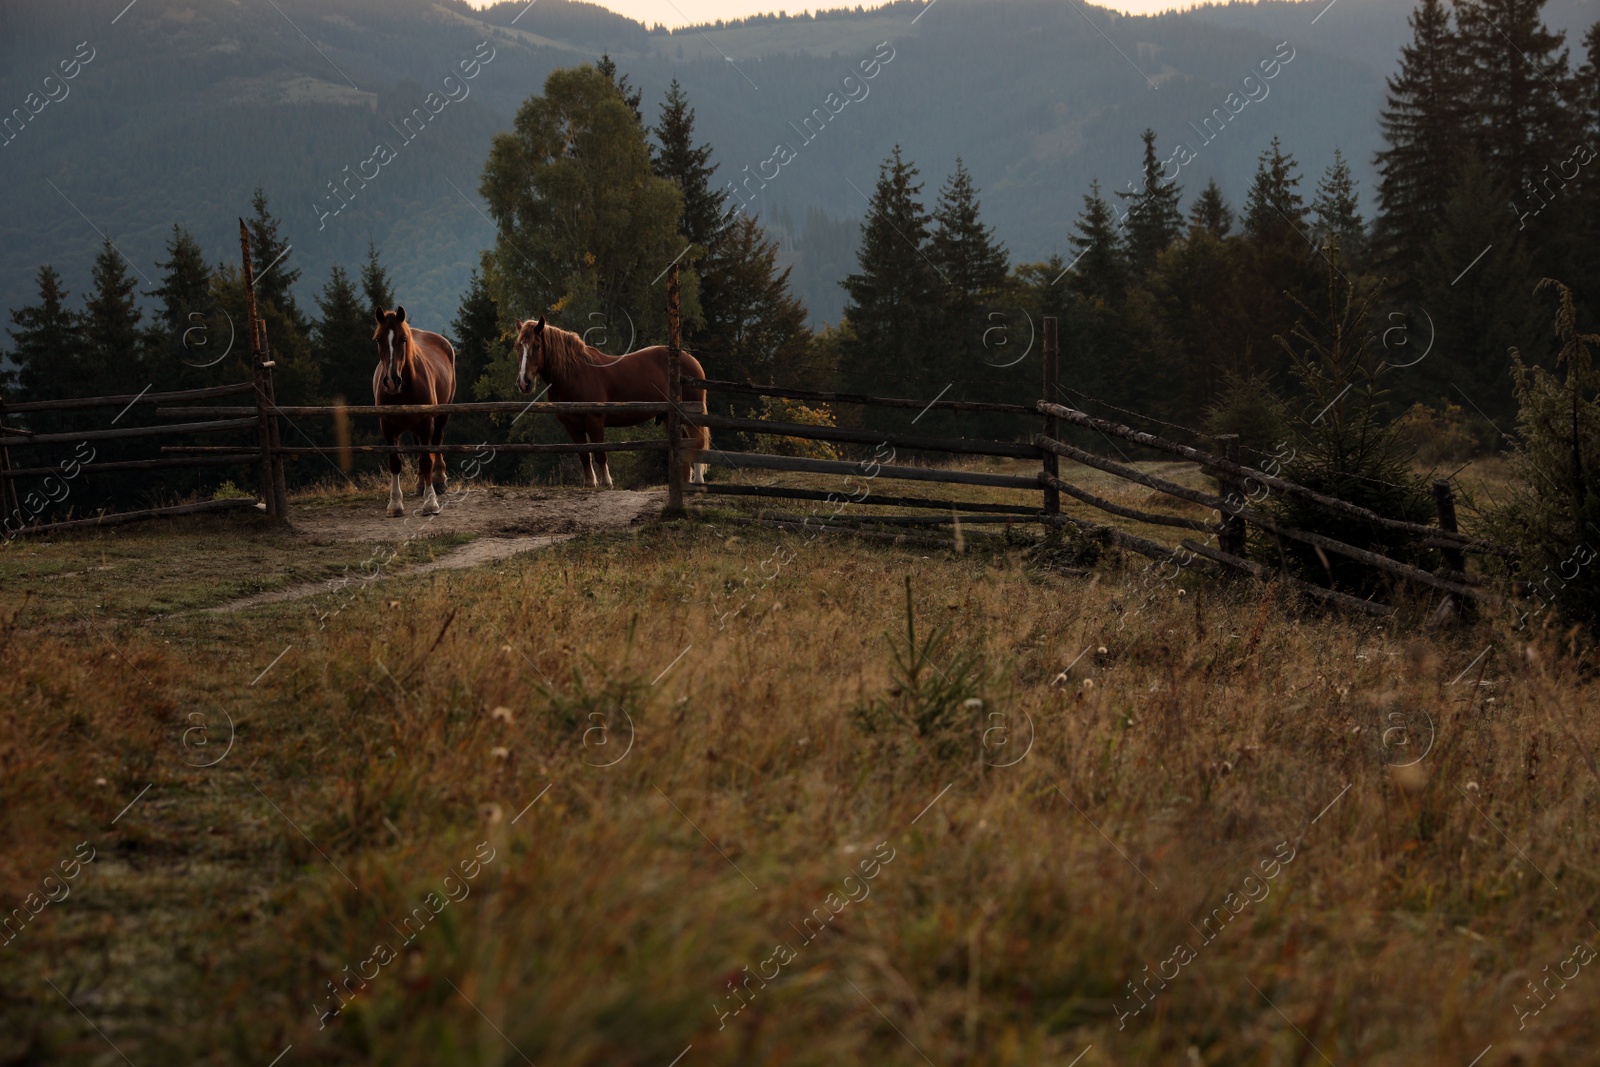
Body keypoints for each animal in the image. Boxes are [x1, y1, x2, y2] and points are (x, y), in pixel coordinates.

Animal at [371, 303, 454, 518]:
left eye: (403, 339)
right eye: (378, 339)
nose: (392, 381)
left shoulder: (426, 423)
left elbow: (426, 460)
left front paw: (430, 502)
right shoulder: (387, 427)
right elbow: (395, 462)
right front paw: (395, 504)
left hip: (441, 417)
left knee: (437, 442)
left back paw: (438, 481)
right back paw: (420, 484)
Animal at [515, 315, 710, 486]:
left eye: (536, 346)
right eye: (518, 347)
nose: (524, 382)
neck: (575, 374)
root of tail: (690, 359)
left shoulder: (594, 420)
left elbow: (600, 453)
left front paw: (606, 482)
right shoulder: (572, 426)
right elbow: (584, 455)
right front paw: (590, 483)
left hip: (690, 416)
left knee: (697, 442)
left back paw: (698, 480)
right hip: (670, 417)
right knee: (685, 444)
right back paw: (685, 480)